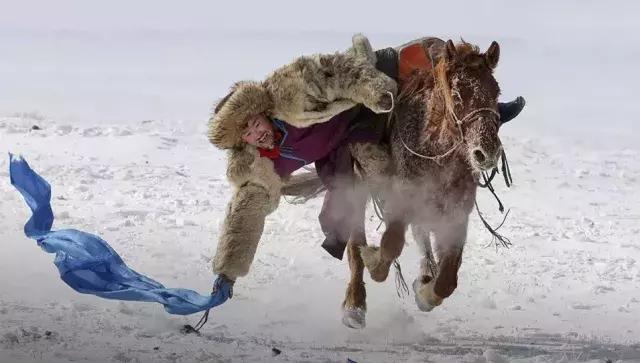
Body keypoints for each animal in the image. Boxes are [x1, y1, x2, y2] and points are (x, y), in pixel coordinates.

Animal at [340, 38, 504, 328]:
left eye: (496, 93)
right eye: (458, 94)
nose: (486, 153)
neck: (435, 149)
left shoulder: (456, 212)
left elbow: (448, 279)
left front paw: (424, 291)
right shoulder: (401, 199)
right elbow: (390, 244)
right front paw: (373, 260)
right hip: (356, 184)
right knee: (355, 242)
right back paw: (355, 304)